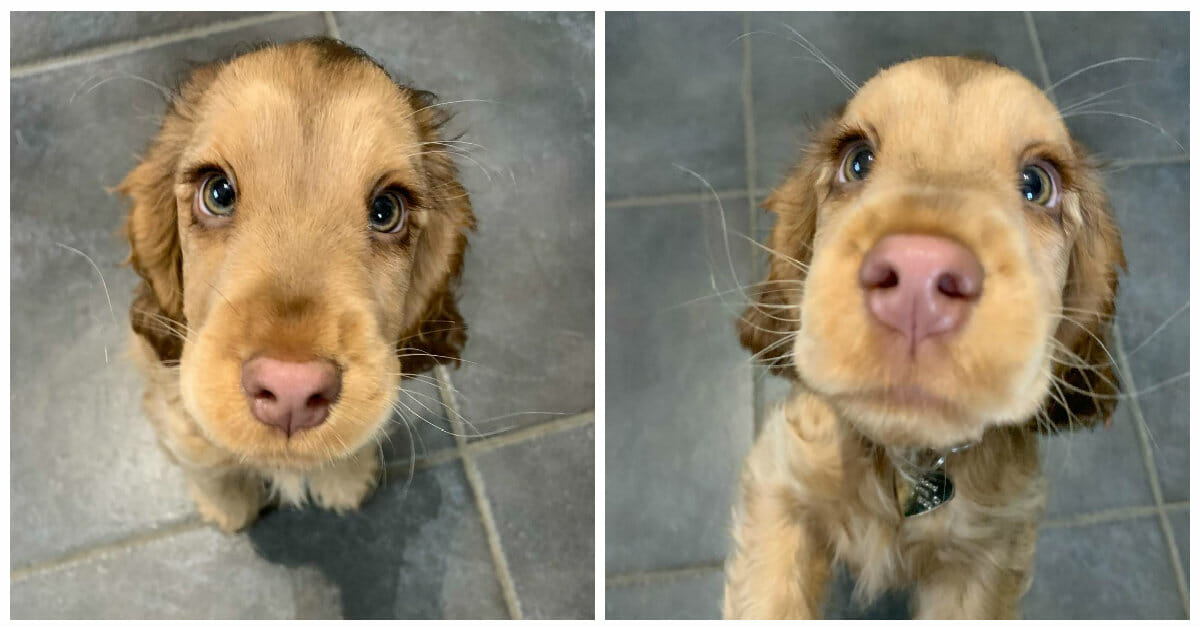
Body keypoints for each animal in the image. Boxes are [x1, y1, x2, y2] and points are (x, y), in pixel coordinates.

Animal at [120, 38, 472, 530]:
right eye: (218, 192)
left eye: (386, 210)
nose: (291, 390)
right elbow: (203, 455)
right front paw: (229, 508)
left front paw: (345, 482)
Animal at [720, 55, 1123, 619]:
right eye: (858, 161)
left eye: (1037, 184)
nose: (918, 274)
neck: (903, 461)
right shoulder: (780, 478)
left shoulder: (989, 553)